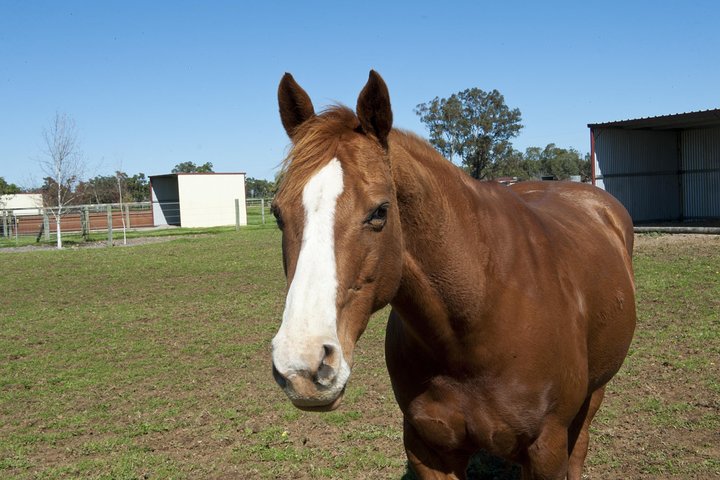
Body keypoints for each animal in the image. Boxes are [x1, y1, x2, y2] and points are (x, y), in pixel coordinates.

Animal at [270, 70, 636, 479]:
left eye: (380, 211)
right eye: (277, 213)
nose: (302, 365)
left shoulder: (547, 449)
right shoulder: (428, 450)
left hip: (594, 394)